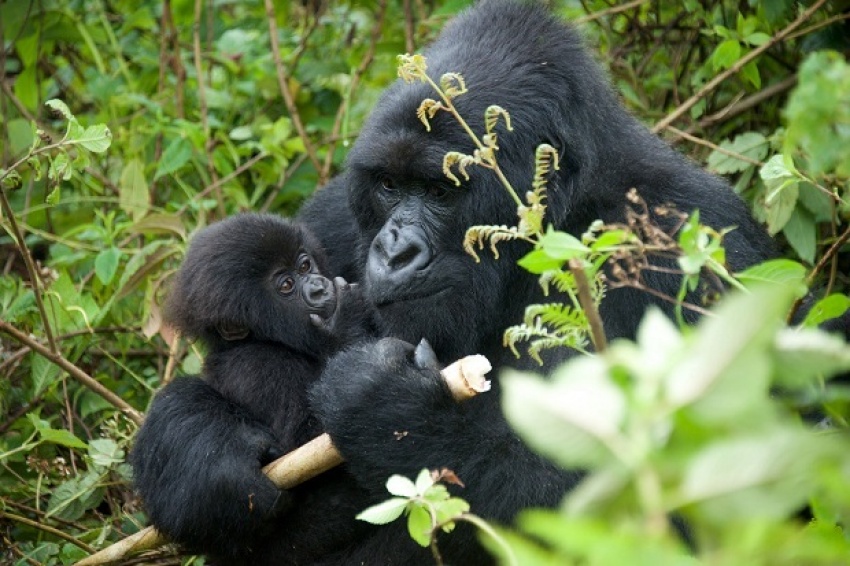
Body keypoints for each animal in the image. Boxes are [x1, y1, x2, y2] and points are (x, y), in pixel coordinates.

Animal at [166, 215, 374, 454]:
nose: (319, 288)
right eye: (286, 285)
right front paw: (346, 321)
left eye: (305, 266)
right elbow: (306, 439)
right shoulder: (258, 366)